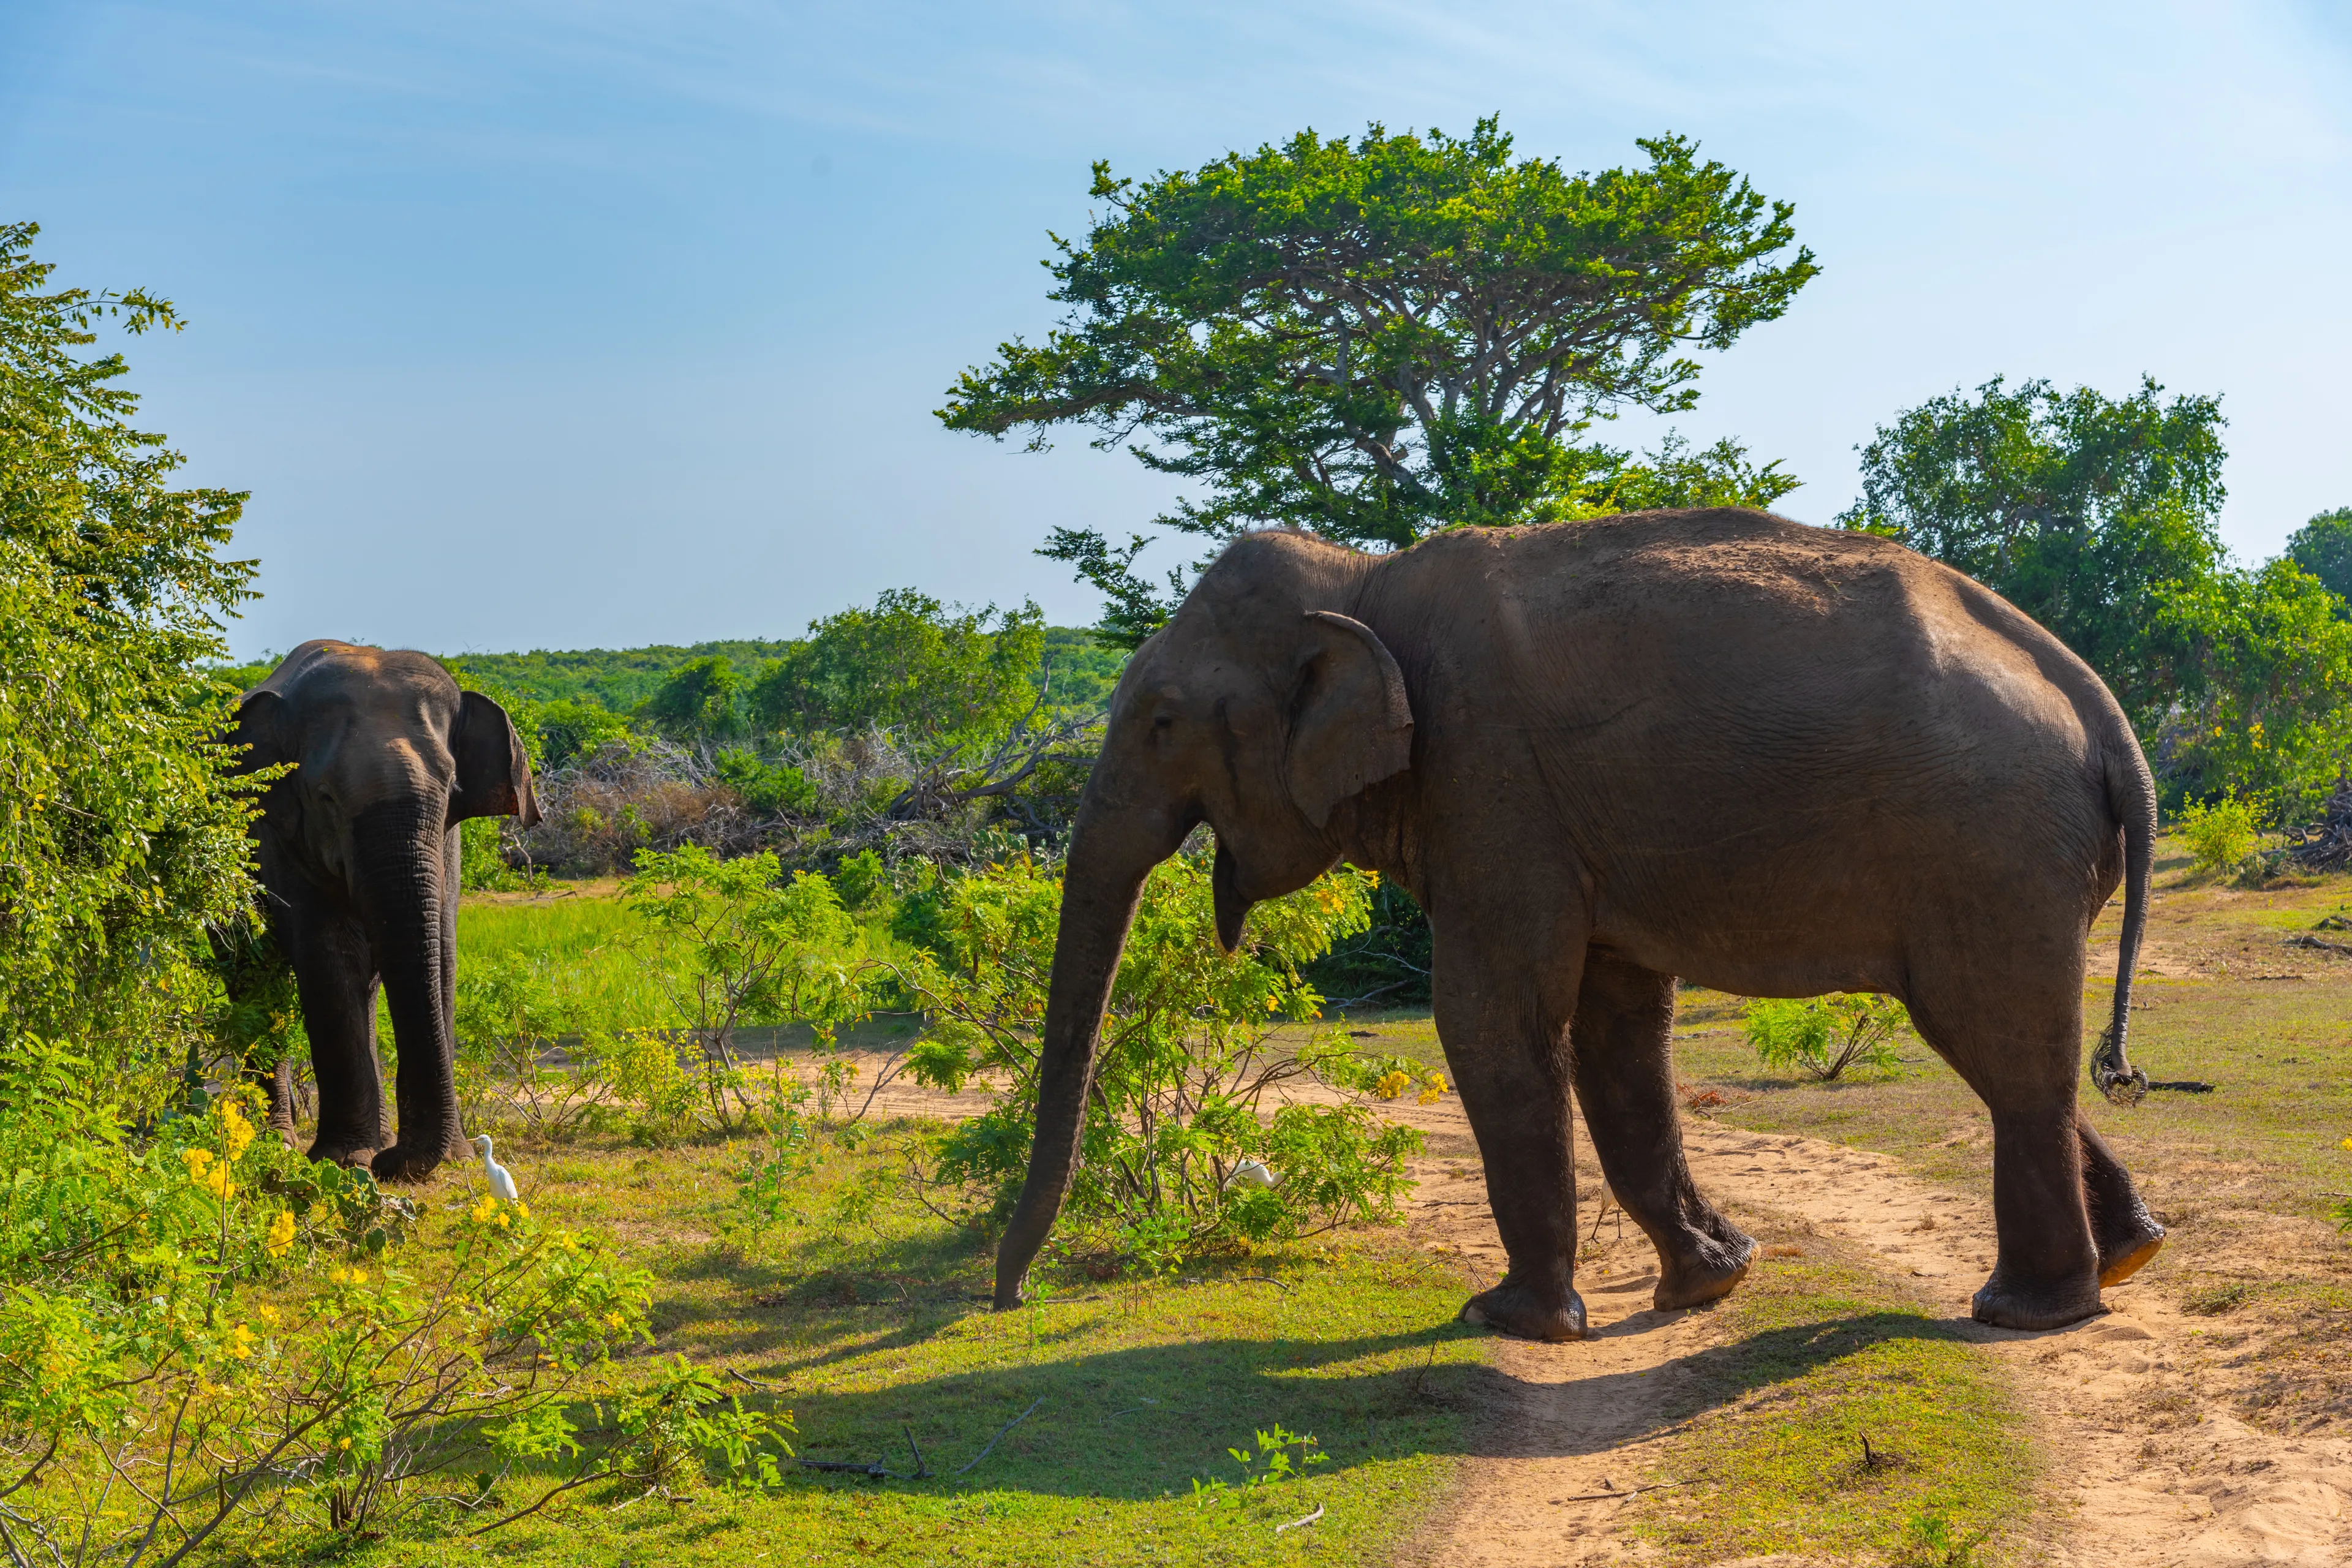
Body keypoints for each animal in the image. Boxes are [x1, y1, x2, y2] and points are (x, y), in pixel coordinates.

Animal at [227, 639, 538, 1175]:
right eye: (325, 798)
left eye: (451, 791)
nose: (392, 1165)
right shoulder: (279, 833)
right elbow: (330, 956)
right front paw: (345, 1160)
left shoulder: (449, 844)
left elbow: (440, 953)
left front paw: (431, 1158)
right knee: (254, 981)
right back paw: (278, 1145)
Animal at [992, 512, 2163, 1335]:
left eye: (1161, 722)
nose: (1007, 1300)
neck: (1358, 578)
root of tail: (2102, 708)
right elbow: (1613, 1033)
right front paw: (1709, 1285)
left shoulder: (1490, 781)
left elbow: (1493, 1021)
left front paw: (1509, 1324)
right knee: (2006, 1055)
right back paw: (2130, 1258)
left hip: (1989, 845)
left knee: (1992, 1042)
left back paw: (2025, 1311)